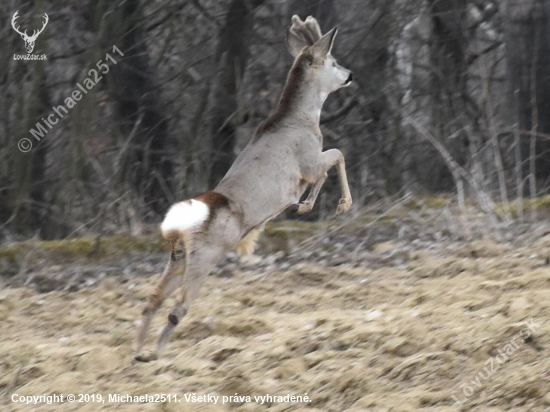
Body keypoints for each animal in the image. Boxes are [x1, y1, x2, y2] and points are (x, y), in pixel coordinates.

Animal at [136, 15, 356, 360]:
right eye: (333, 61)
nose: (350, 74)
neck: (303, 120)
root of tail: (177, 224)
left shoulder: (303, 173)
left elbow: (322, 173)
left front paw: (305, 206)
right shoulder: (307, 159)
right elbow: (338, 154)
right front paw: (342, 205)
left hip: (178, 258)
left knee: (152, 299)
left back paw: (136, 353)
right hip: (205, 254)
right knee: (178, 306)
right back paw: (154, 355)